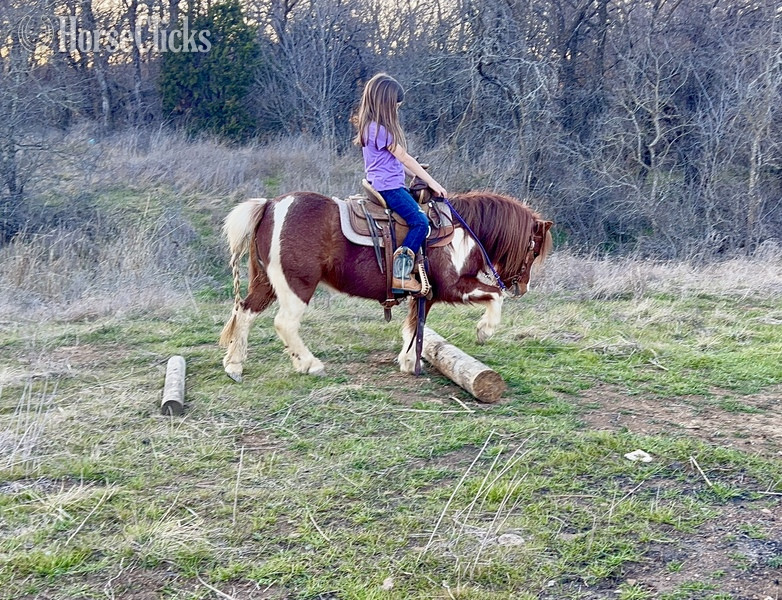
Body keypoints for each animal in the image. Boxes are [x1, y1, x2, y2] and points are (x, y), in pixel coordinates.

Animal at [218, 190, 552, 381]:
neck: (463, 232)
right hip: (297, 285)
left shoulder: (425, 294)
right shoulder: (453, 286)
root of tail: (270, 205)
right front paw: (484, 330)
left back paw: (234, 364)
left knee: (244, 312)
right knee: (285, 323)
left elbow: (415, 326)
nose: (522, 288)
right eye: (534, 248)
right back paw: (309, 364)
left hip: (266, 282)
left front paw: (408, 361)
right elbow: (494, 297)